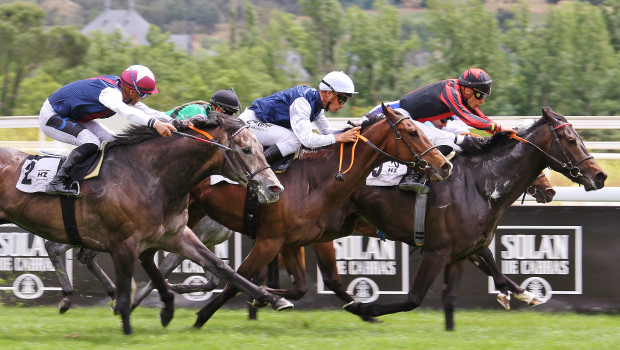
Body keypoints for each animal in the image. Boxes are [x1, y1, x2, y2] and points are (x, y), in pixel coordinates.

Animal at [0, 114, 288, 334]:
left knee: (61, 249)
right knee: (62, 249)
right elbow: (133, 285)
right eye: (246, 149)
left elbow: (223, 268)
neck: (149, 176)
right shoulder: (125, 244)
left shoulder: (176, 235)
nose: (274, 188)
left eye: (261, 148)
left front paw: (273, 297)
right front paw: (129, 326)